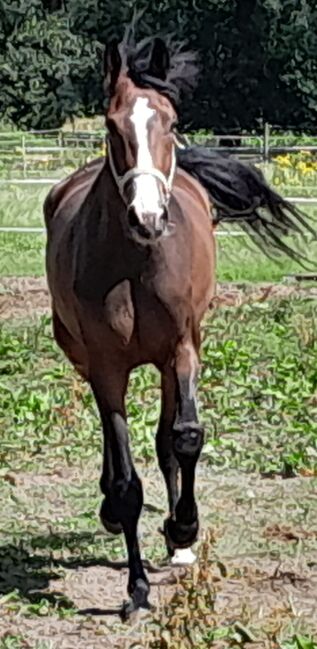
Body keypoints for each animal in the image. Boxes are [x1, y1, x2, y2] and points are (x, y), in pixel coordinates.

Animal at [43, 29, 314, 616]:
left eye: (169, 122)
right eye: (111, 126)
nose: (148, 218)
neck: (136, 263)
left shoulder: (182, 348)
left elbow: (185, 437)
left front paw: (184, 529)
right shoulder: (106, 366)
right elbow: (126, 477)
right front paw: (137, 588)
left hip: (171, 361)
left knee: (168, 437)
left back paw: (177, 541)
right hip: (82, 354)